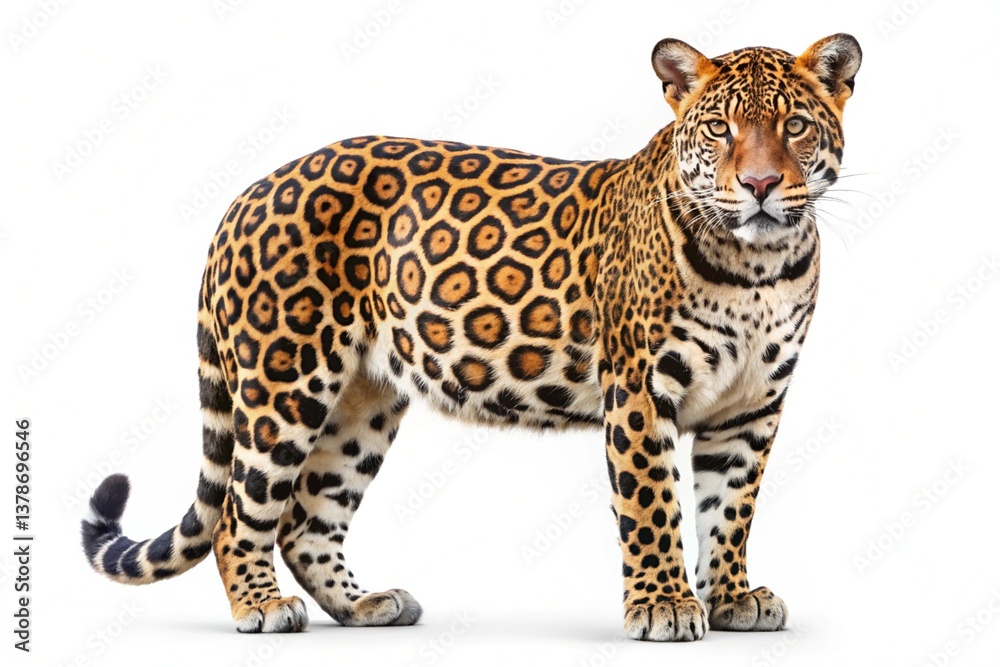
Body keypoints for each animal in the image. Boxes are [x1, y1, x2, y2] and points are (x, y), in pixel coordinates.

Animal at [81, 33, 861, 642]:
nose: (759, 184)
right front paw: (664, 604)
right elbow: (654, 504)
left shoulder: (752, 406)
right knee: (240, 514)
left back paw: (365, 605)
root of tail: (247, 192)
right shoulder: (642, 389)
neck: (758, 266)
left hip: (363, 401)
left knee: (306, 520)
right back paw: (262, 607)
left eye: (795, 125)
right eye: (720, 130)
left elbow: (730, 507)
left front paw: (731, 597)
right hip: (286, 382)